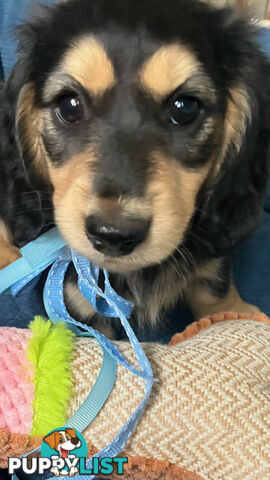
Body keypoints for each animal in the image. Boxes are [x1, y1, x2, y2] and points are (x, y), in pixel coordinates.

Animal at [0, 0, 270, 338]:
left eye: (185, 107)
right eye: (69, 105)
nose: (114, 236)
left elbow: (214, 285)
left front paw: (236, 312)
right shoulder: (79, 304)